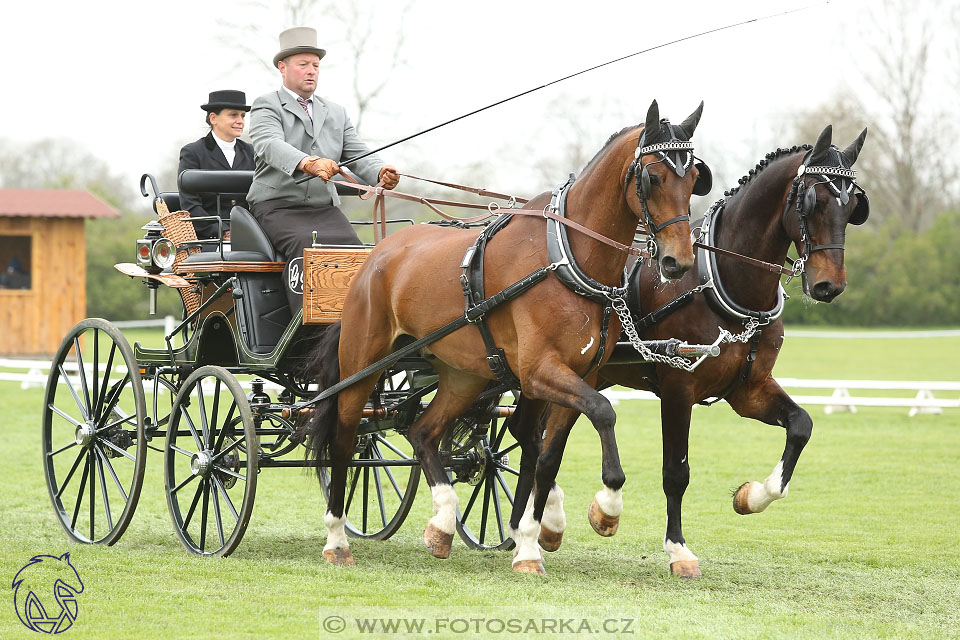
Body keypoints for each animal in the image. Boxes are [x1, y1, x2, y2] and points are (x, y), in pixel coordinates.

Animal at [308, 101, 712, 576]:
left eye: (694, 178)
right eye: (653, 176)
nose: (677, 262)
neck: (566, 258)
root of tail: (378, 253)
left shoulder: (576, 376)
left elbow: (547, 456)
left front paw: (531, 542)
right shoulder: (540, 372)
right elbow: (602, 413)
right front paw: (607, 507)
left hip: (463, 375)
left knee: (424, 432)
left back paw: (442, 523)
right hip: (363, 363)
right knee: (346, 438)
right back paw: (337, 538)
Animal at [532, 122, 872, 576]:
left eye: (852, 205)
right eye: (811, 201)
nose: (828, 286)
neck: (722, 282)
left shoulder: (748, 390)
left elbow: (801, 425)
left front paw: (751, 496)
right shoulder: (678, 388)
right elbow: (676, 472)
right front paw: (678, 550)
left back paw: (548, 524)